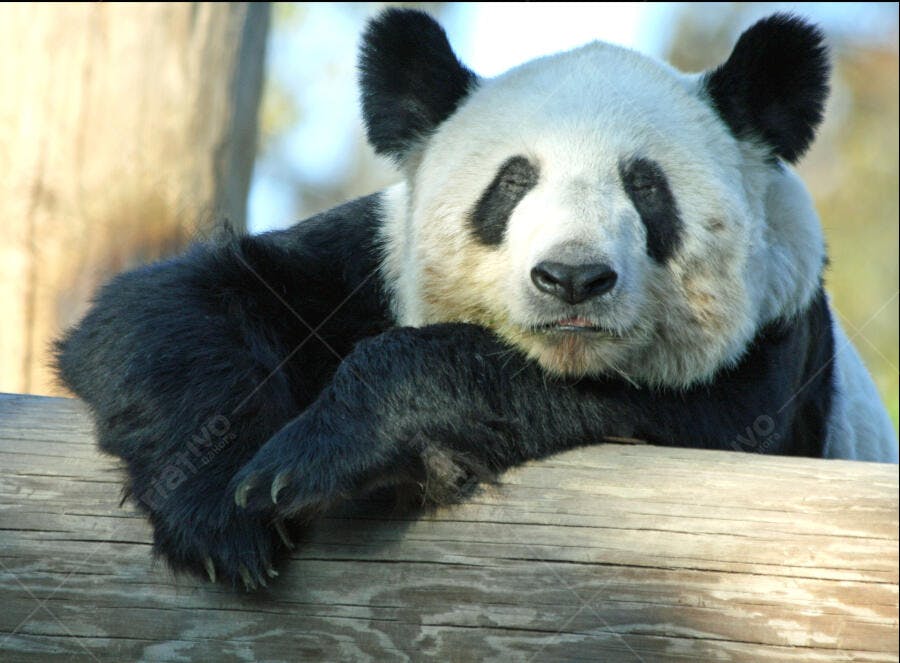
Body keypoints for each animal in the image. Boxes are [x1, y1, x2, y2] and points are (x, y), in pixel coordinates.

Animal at [56, 9, 898, 588]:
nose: (572, 277)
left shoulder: (772, 362)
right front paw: (221, 509)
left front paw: (314, 455)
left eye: (646, 187)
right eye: (514, 181)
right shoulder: (370, 261)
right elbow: (171, 306)